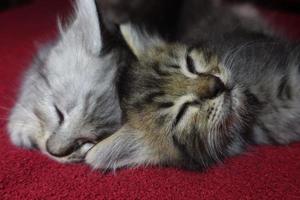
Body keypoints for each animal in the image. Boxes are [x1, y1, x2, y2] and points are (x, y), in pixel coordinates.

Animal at [6, 0, 120, 162]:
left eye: (90, 141)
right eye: (58, 112)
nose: (52, 151)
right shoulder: (41, 57)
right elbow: (30, 84)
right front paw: (21, 125)